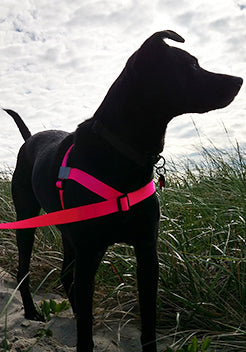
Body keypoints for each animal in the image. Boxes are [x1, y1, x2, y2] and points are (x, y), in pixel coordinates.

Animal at [3, 31, 242, 352]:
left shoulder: (146, 251)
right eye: (191, 65)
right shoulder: (90, 252)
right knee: (26, 270)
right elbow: (85, 331)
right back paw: (31, 310)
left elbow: (148, 320)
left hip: (69, 233)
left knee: (67, 276)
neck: (123, 153)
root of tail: (29, 140)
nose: (238, 80)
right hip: (27, 220)